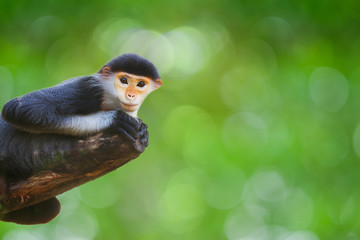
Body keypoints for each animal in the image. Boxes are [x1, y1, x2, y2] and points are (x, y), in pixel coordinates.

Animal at [0, 53, 162, 224]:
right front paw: (116, 119)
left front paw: (143, 132)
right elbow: (19, 108)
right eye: (123, 80)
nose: (131, 95)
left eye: (141, 84)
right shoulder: (86, 89)